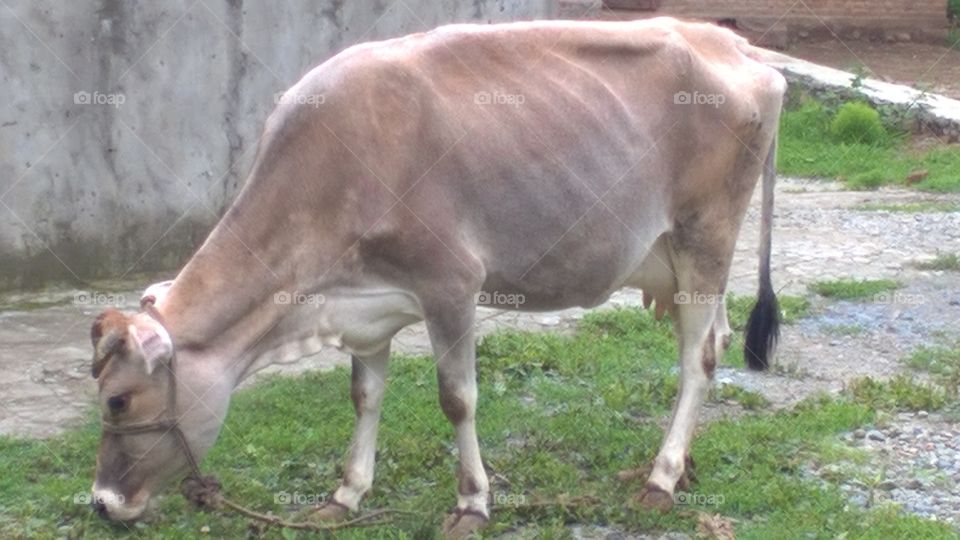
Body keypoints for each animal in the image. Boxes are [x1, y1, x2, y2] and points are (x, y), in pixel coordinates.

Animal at [88, 17, 784, 538]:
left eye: (118, 399)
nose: (100, 502)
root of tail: (736, 43)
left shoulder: (451, 284)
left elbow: (457, 398)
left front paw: (472, 504)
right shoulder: (363, 305)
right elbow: (364, 396)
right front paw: (345, 495)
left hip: (707, 234)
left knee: (697, 359)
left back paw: (661, 479)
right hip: (678, 256)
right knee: (713, 340)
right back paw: (680, 465)